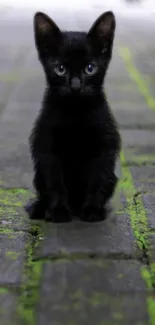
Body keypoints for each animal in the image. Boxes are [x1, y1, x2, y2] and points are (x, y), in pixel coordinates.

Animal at [26, 10, 121, 223]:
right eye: (60, 69)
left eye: (90, 68)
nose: (76, 86)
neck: (75, 114)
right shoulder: (46, 147)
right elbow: (55, 183)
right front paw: (59, 212)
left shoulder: (105, 145)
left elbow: (97, 179)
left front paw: (93, 210)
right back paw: (40, 209)